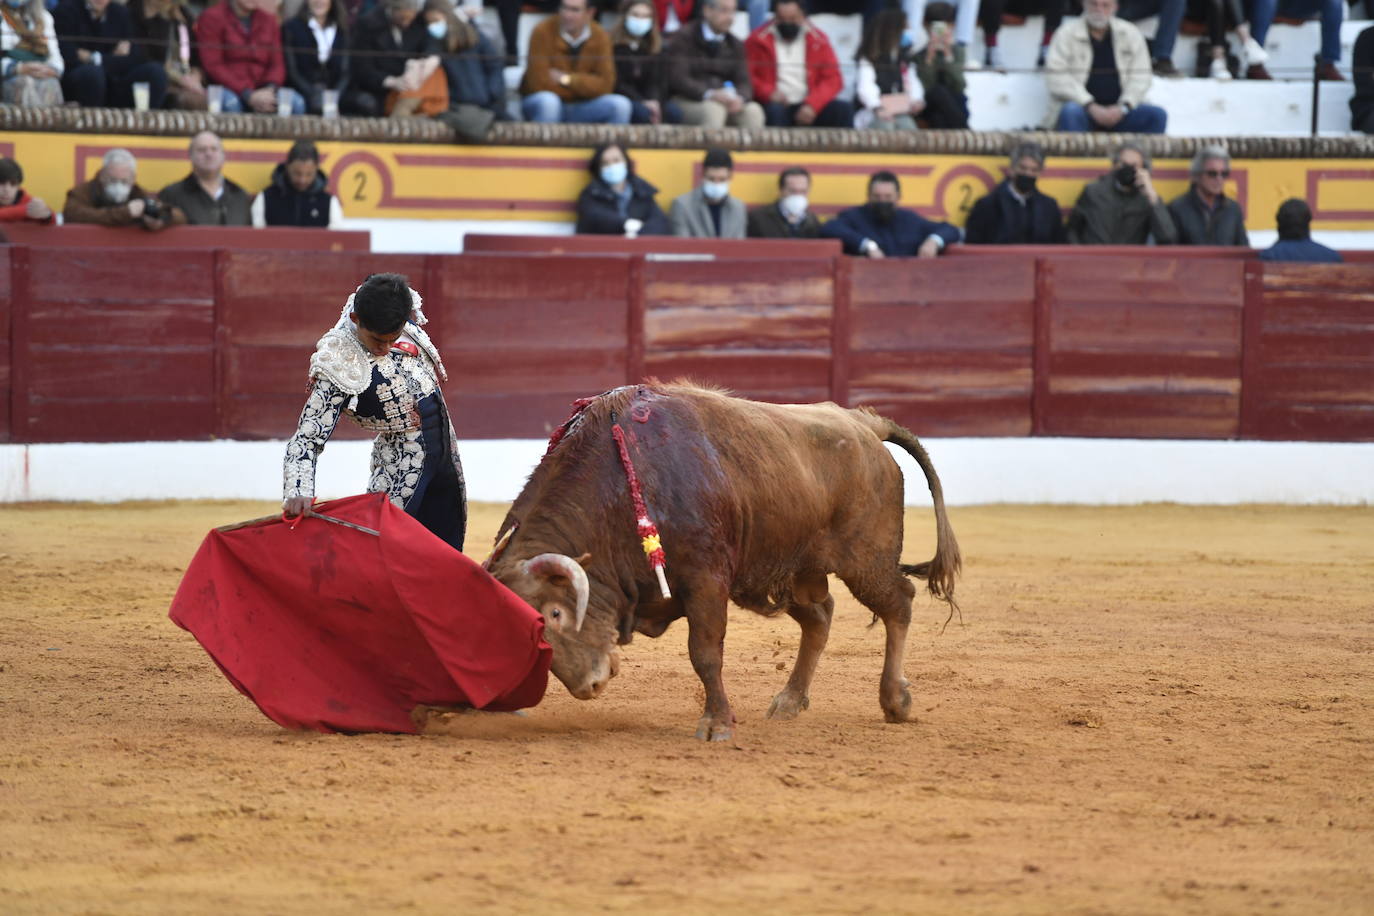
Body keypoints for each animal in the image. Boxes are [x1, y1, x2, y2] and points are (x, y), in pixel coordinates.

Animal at [489, 384, 961, 741]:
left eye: (555, 613)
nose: (590, 686)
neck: (621, 490)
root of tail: (863, 424)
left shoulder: (706, 579)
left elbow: (705, 652)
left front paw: (717, 723)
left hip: (866, 559)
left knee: (898, 603)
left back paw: (895, 700)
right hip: (789, 569)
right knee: (820, 617)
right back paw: (790, 700)